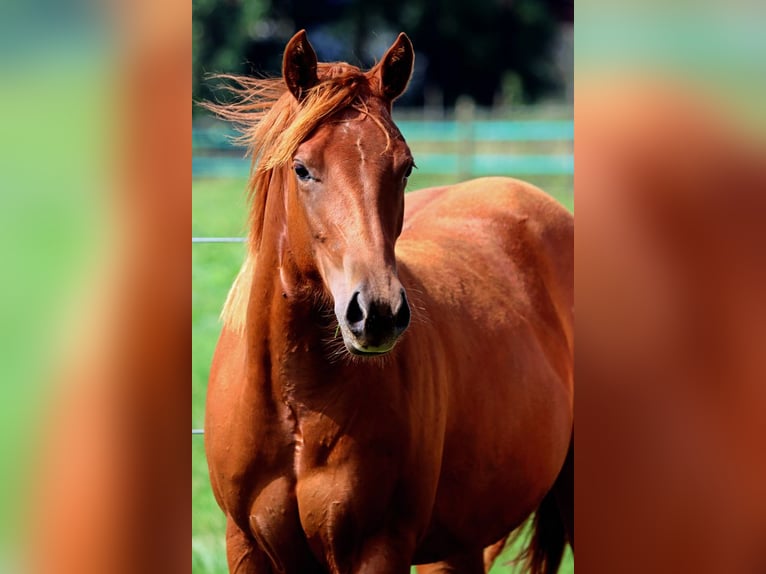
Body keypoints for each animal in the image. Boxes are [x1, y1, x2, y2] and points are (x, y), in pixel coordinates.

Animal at [206, 32, 576, 574]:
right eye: (302, 169)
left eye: (405, 167)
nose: (377, 313)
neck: (296, 402)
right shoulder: (246, 546)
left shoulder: (378, 548)